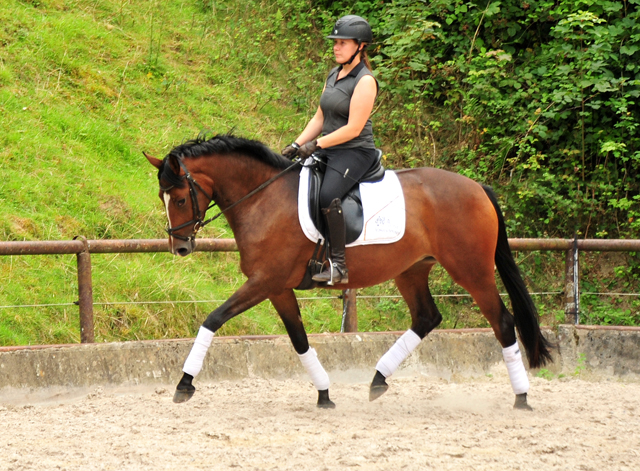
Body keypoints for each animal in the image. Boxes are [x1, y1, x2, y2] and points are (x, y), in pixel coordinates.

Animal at [145, 133, 556, 410]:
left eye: (178, 198)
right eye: (163, 198)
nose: (180, 247)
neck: (262, 197)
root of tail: (478, 188)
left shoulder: (264, 282)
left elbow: (213, 319)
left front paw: (184, 384)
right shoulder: (277, 288)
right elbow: (299, 339)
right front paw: (324, 394)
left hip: (471, 271)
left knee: (502, 322)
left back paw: (521, 397)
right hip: (411, 270)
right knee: (427, 317)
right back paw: (377, 380)